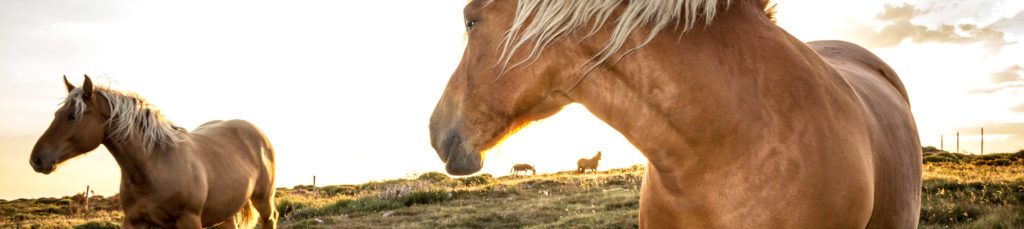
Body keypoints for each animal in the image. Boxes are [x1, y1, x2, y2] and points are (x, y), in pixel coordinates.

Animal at [29, 75, 278, 226]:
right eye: (57, 115)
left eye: (72, 116)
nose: (36, 159)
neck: (154, 167)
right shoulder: (133, 221)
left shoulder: (189, 221)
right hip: (225, 212)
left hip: (264, 200)